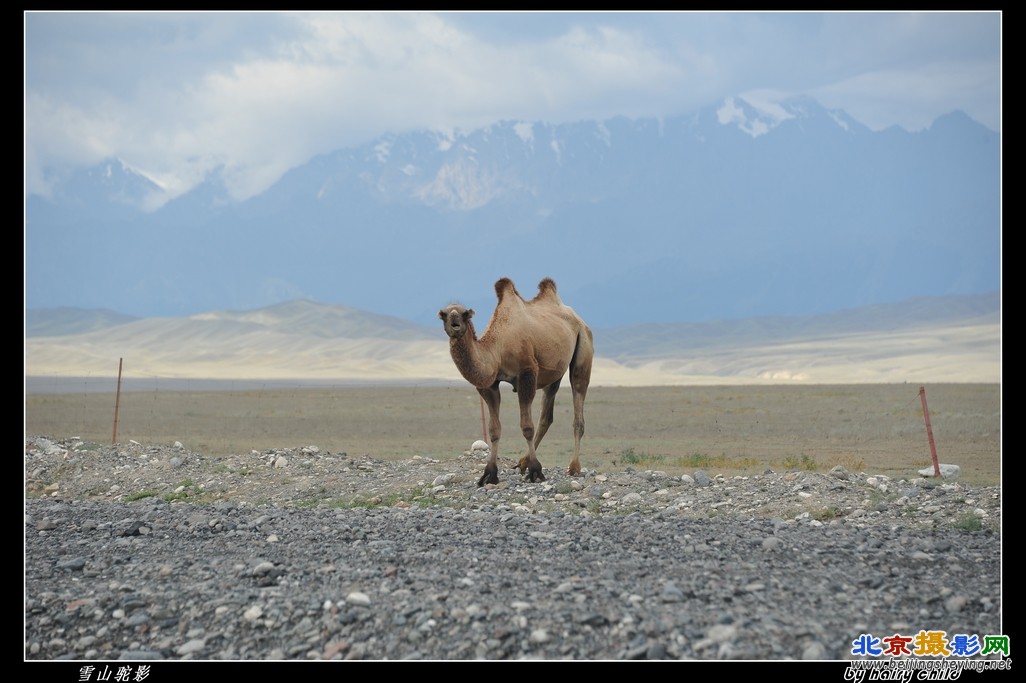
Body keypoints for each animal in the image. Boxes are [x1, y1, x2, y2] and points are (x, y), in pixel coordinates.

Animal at [439, 276, 595, 484]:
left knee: (578, 400)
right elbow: (494, 429)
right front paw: (489, 474)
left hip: (583, 345)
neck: (497, 348)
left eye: (465, 314)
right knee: (546, 415)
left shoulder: (527, 373)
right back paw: (522, 463)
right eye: (443, 314)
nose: (455, 323)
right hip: (552, 373)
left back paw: (574, 467)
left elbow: (527, 426)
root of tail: (579, 319)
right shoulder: (490, 385)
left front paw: (536, 471)